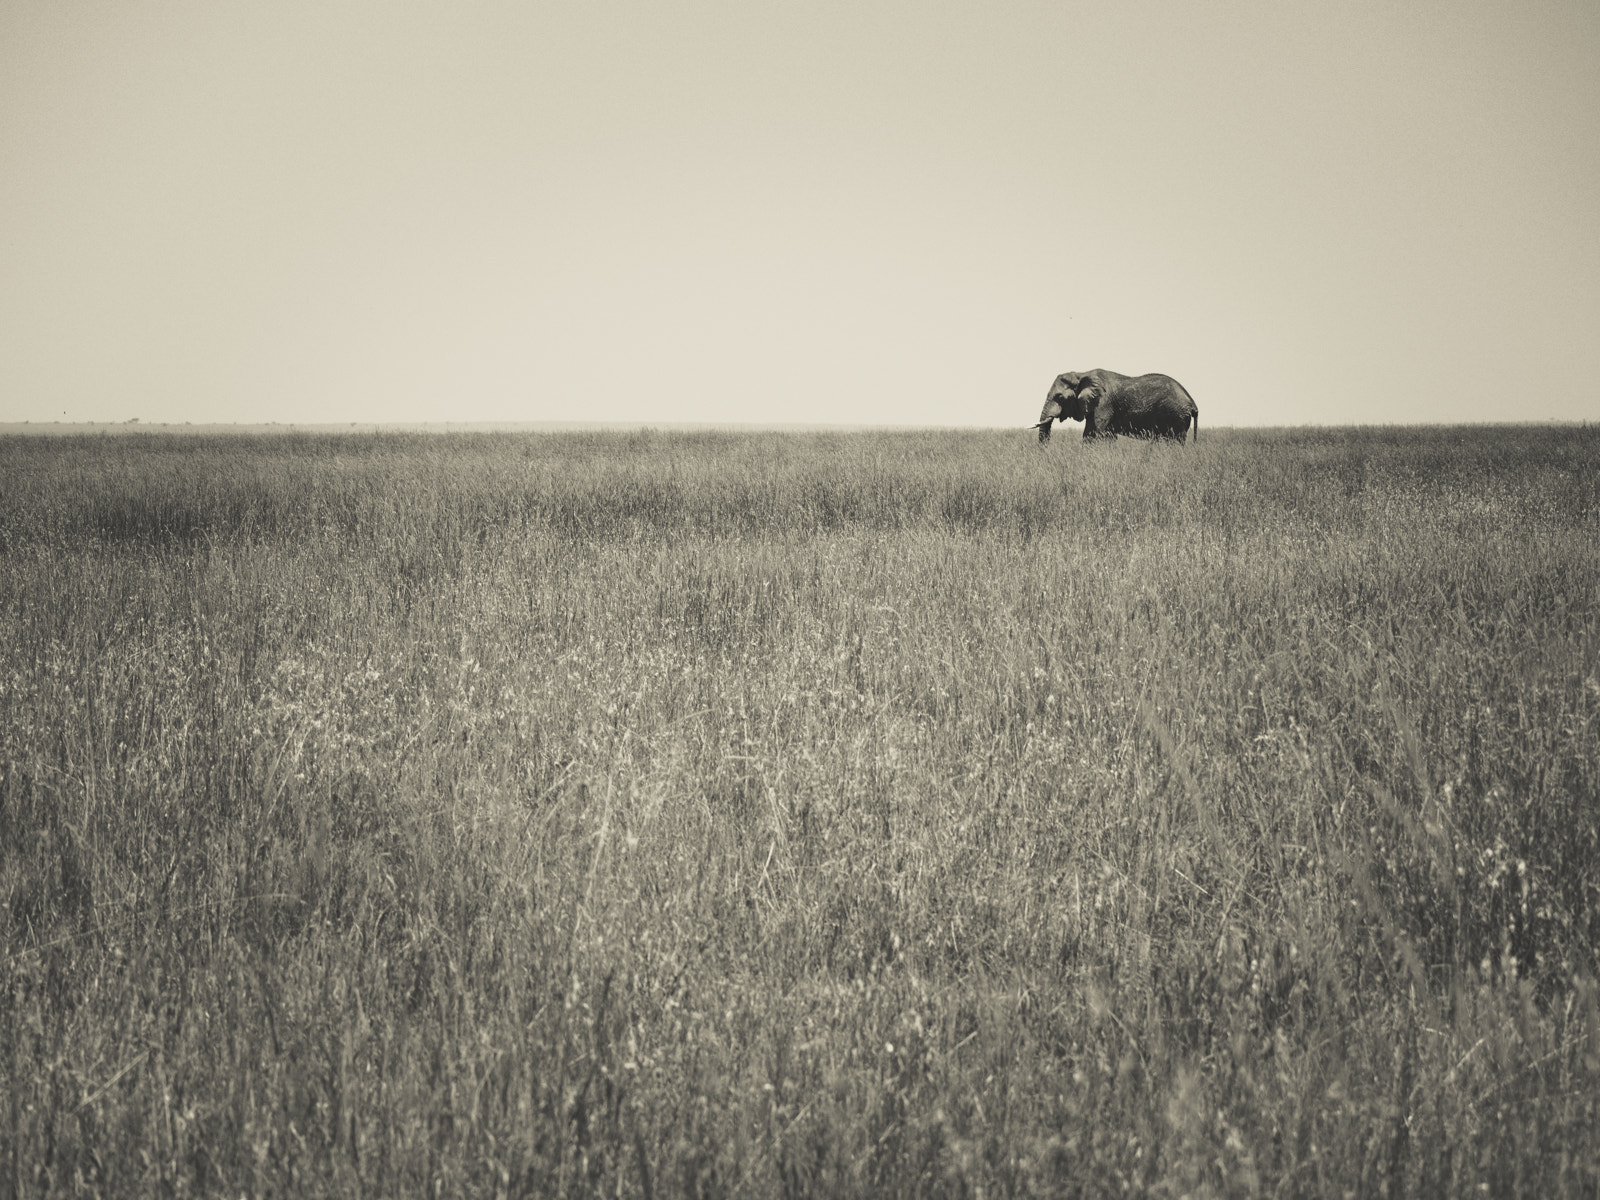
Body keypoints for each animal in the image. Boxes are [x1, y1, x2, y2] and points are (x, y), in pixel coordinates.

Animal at [1035, 370, 1198, 444]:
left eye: (1060, 397)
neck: (1082, 374)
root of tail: (1192, 402)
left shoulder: (1103, 404)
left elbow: (1093, 434)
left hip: (1177, 416)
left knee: (1175, 441)